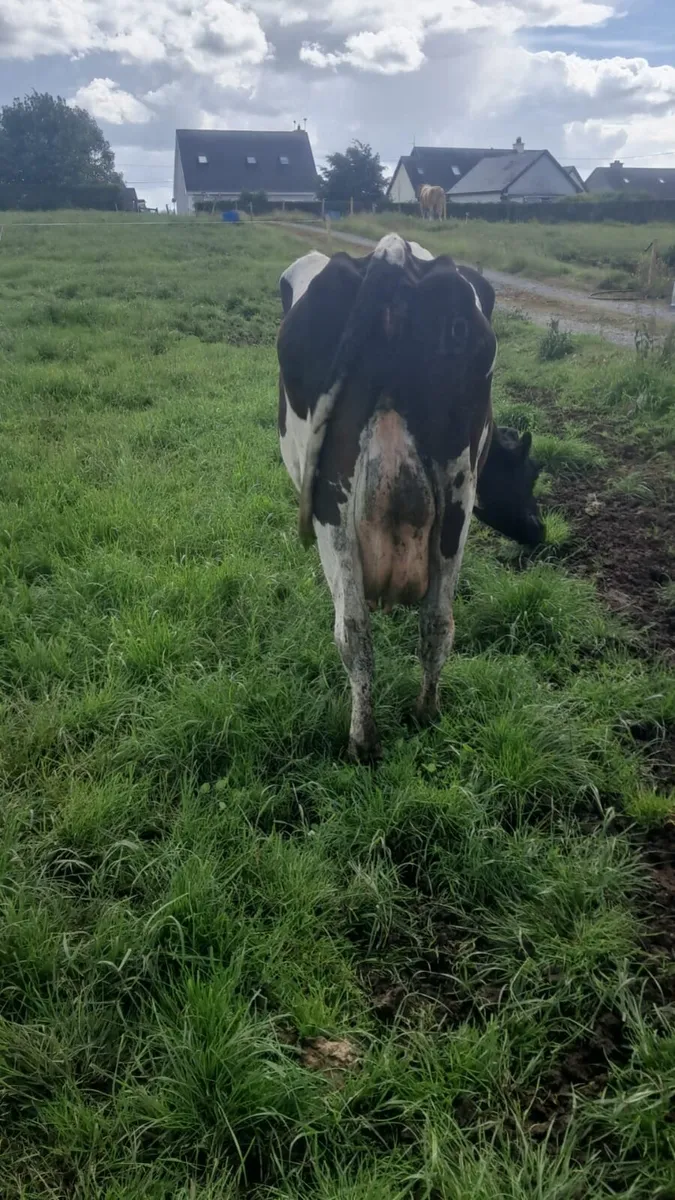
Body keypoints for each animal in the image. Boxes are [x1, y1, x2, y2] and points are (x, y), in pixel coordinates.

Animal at [277, 233, 544, 760]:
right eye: (529, 475)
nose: (541, 531)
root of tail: (392, 253)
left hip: (331, 507)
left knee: (352, 629)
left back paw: (362, 741)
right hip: (455, 497)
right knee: (435, 622)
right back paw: (424, 714)